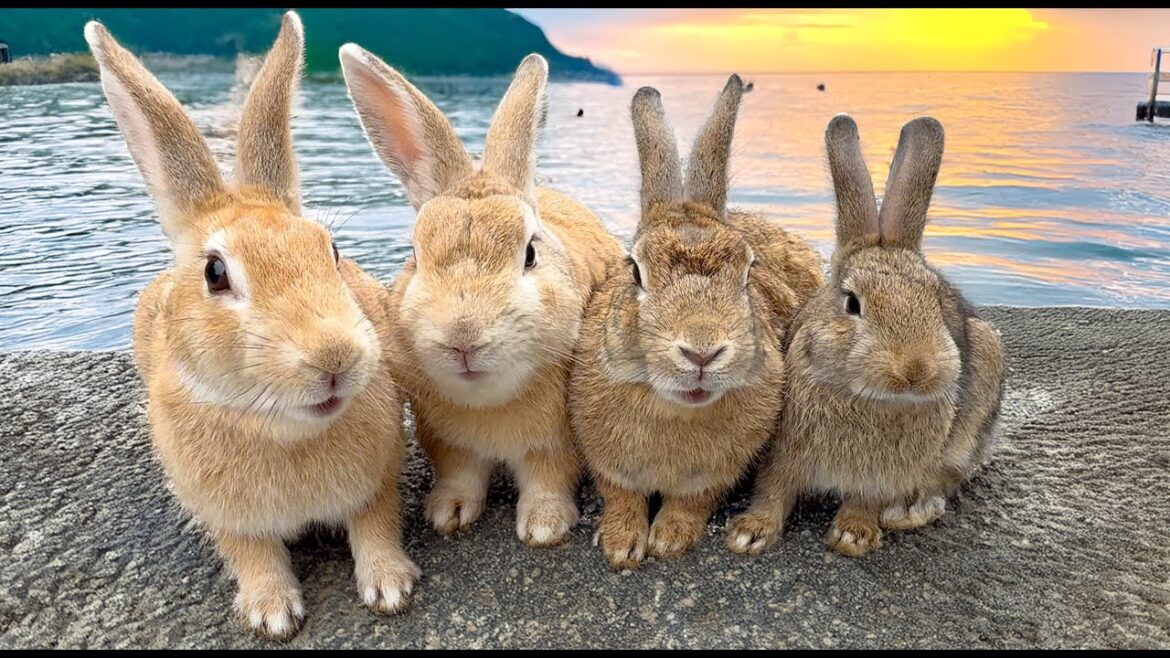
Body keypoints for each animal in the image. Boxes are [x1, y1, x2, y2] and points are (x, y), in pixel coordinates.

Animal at [86, 12, 418, 640]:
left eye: (331, 250)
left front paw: (390, 587)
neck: (284, 430)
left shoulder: (378, 479)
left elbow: (375, 524)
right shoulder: (226, 514)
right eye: (215, 273)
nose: (334, 358)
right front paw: (272, 614)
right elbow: (251, 552)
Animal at [339, 46, 625, 547]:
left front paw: (544, 527)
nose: (463, 338)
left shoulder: (555, 445)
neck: (489, 399)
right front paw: (447, 514)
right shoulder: (448, 442)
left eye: (530, 253)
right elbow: (461, 476)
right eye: (415, 256)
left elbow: (547, 479)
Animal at [568, 75, 825, 570]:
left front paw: (669, 538)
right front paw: (621, 543)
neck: (676, 409)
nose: (702, 351)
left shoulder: (718, 472)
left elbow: (692, 502)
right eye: (636, 271)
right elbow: (621, 495)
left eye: (748, 270)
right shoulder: (608, 460)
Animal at [726, 114, 1006, 558]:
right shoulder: (784, 455)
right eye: (853, 303)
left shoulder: (884, 476)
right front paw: (749, 534)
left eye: (935, 298)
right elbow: (772, 491)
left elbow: (865, 499)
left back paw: (909, 511)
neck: (866, 397)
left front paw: (853, 536)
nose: (916, 369)